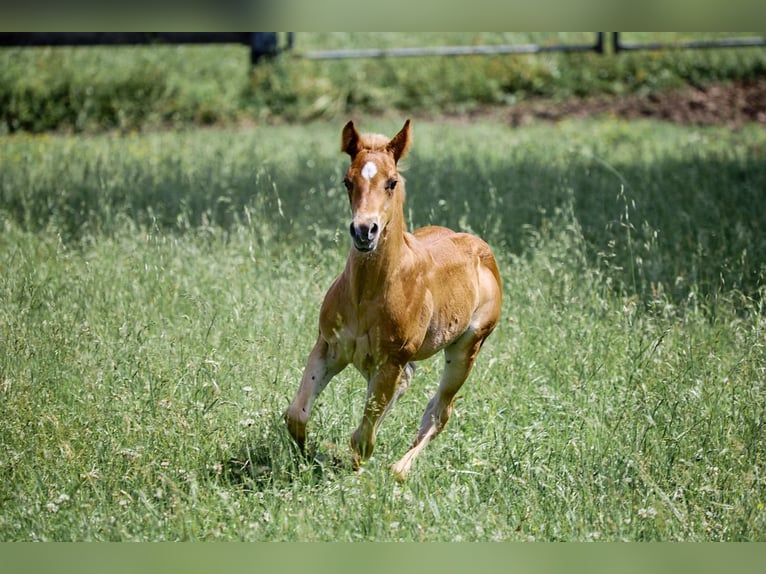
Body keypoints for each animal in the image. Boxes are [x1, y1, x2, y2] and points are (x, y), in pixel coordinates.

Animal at [284, 120, 504, 482]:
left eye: (392, 182)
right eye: (347, 181)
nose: (364, 230)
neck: (366, 296)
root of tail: (481, 247)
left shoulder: (391, 360)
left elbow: (362, 439)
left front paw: (348, 469)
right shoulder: (329, 346)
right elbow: (297, 415)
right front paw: (309, 457)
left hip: (466, 348)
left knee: (440, 410)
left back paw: (400, 469)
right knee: (408, 386)